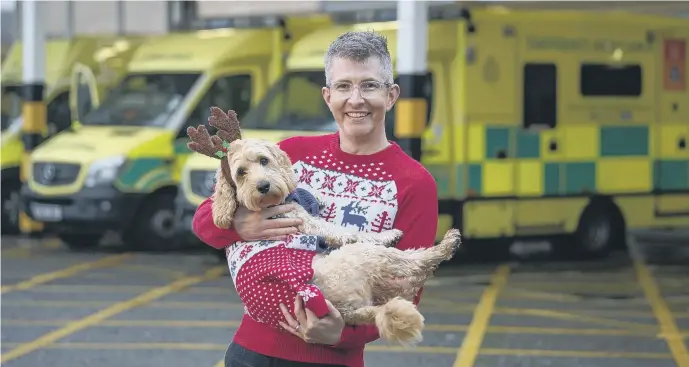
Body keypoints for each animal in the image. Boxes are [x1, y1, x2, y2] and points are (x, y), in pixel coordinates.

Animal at [187, 107, 462, 348]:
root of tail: (348, 311)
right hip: (361, 258)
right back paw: (445, 245)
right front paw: (389, 233)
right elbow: (349, 232)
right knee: (410, 264)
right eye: (241, 172)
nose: (263, 186)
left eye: (263, 160)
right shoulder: (309, 223)